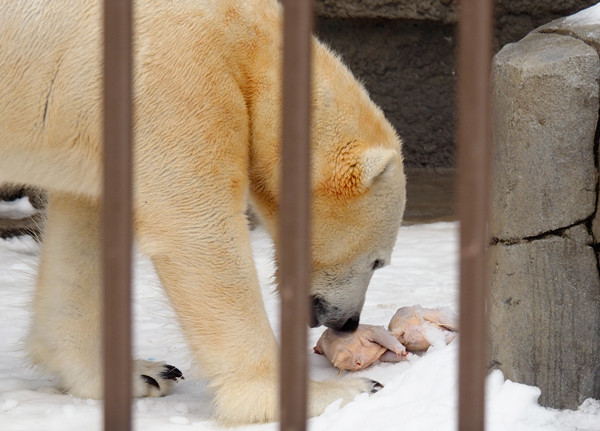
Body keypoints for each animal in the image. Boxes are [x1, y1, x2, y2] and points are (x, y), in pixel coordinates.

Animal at [0, 0, 406, 426]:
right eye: (378, 261)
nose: (349, 322)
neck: (246, 38)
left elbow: (82, 232)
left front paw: (142, 373)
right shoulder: (175, 76)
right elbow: (197, 231)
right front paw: (334, 391)